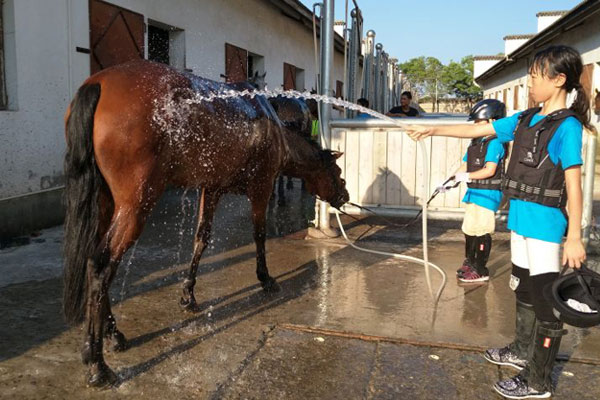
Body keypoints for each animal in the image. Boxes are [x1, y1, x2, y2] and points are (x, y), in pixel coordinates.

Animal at [62, 60, 346, 388]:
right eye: (337, 170)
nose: (346, 195)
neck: (272, 126)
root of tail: (98, 83)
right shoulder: (261, 187)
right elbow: (259, 235)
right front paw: (265, 279)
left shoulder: (211, 189)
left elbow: (201, 238)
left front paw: (189, 295)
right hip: (134, 206)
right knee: (100, 265)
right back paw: (97, 364)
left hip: (107, 202)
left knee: (95, 262)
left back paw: (114, 334)